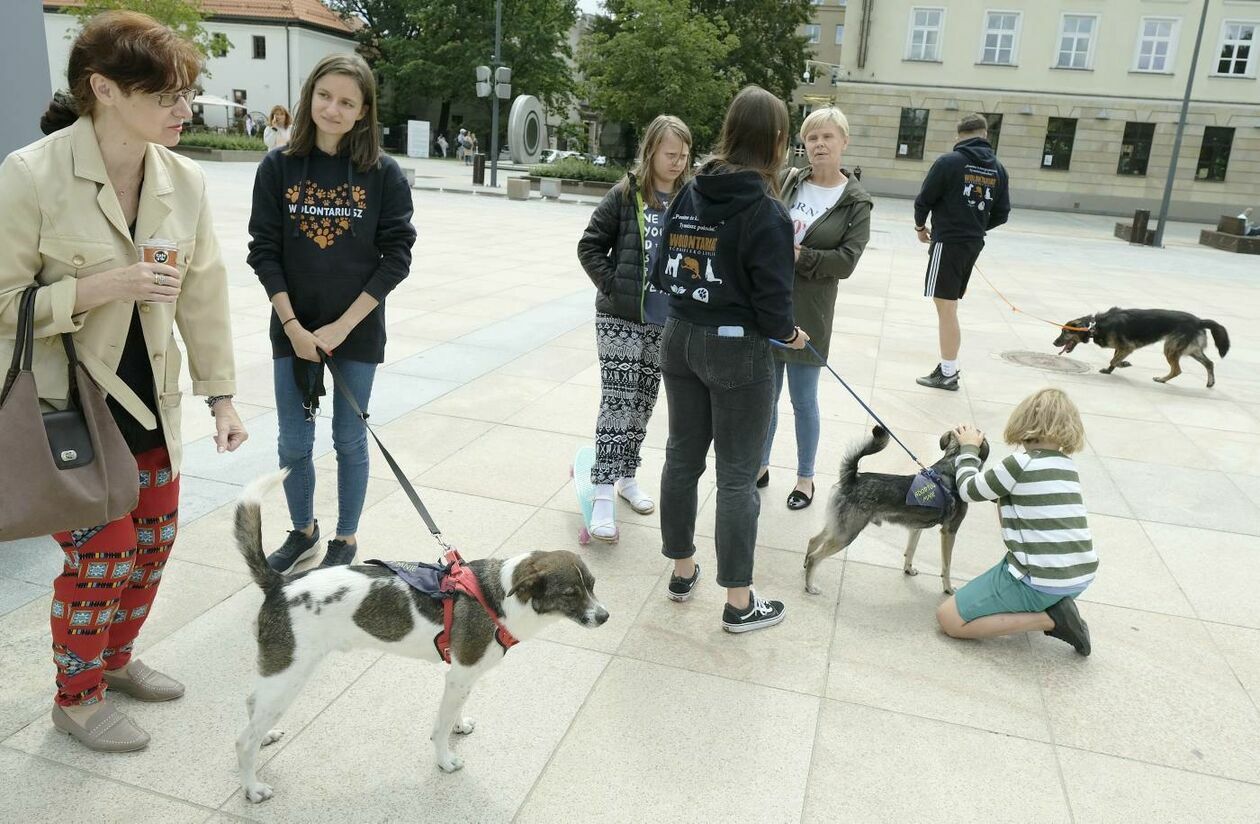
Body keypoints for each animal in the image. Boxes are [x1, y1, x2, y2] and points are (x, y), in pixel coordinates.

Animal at [806, 428, 982, 597]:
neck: (951, 466)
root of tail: (852, 479)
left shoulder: (916, 528)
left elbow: (910, 551)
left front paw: (908, 569)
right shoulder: (949, 532)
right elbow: (946, 566)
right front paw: (948, 589)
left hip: (837, 526)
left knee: (813, 541)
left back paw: (805, 568)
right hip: (846, 534)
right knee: (815, 557)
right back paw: (810, 586)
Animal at [1053, 308, 1229, 388]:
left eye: (1065, 332)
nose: (1054, 343)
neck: (1094, 326)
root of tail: (1199, 321)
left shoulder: (1127, 347)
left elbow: (1114, 360)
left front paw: (1123, 364)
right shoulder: (1121, 347)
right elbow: (1114, 359)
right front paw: (1110, 370)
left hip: (1170, 348)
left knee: (1177, 370)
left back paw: (1162, 379)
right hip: (1192, 350)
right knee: (1209, 363)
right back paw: (1210, 382)